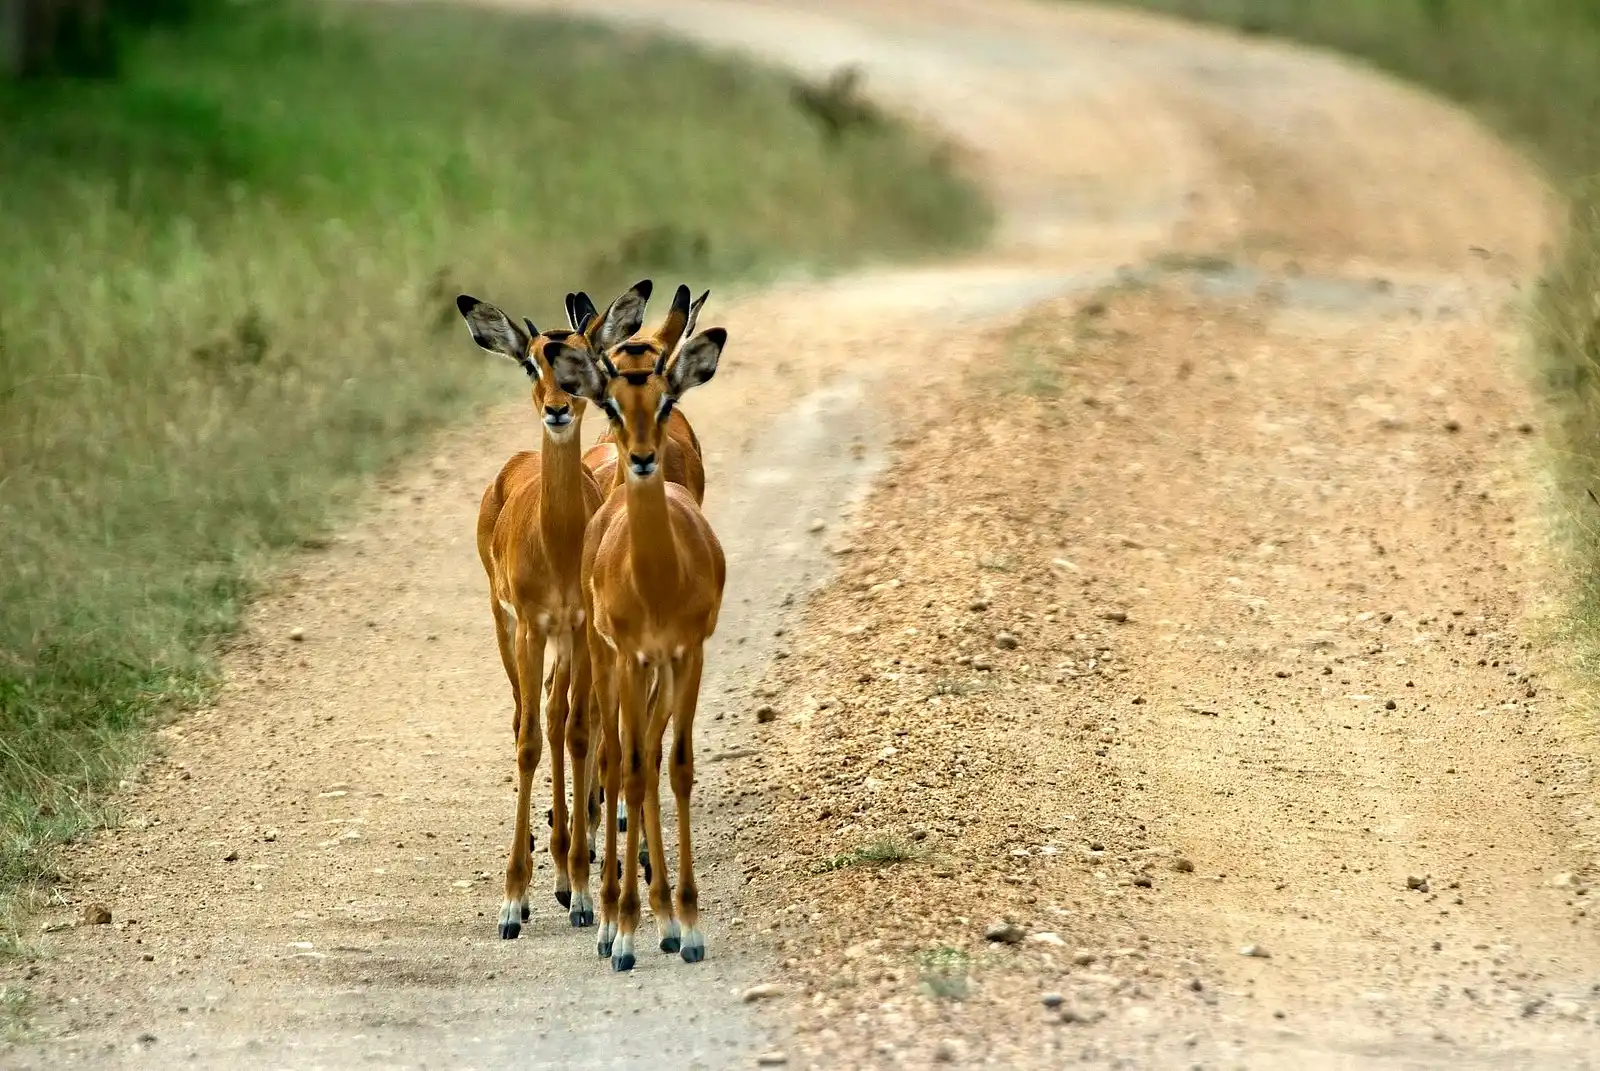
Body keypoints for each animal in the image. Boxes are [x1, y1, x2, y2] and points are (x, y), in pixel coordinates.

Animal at [457, 281, 649, 934]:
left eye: (587, 360)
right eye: (530, 362)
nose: (559, 407)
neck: (558, 542)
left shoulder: (581, 629)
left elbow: (579, 733)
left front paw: (584, 893)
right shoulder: (532, 629)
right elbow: (528, 743)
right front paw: (513, 902)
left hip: (566, 644)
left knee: (561, 717)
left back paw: (568, 871)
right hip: (507, 628)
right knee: (529, 716)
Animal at [547, 310, 729, 966]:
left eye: (666, 398)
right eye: (613, 405)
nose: (644, 458)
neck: (655, 582)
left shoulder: (687, 654)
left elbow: (674, 767)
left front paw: (689, 925)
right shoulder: (628, 656)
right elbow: (625, 767)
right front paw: (621, 930)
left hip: (655, 667)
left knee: (645, 760)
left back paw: (661, 916)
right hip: (604, 659)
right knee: (611, 754)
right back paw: (606, 916)